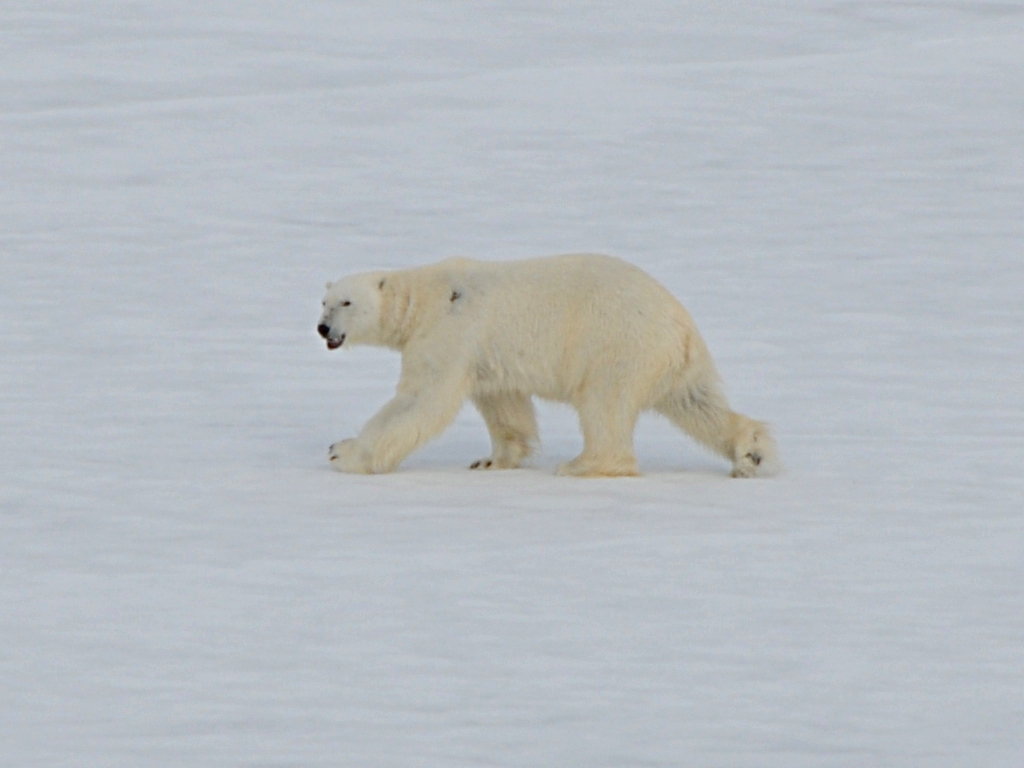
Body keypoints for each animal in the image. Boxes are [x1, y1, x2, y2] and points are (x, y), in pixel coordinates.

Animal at [319, 256, 774, 479]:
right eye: (323, 301)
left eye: (347, 302)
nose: (323, 327)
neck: (425, 297)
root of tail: (681, 325)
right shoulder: (485, 353)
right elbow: (502, 402)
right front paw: (492, 460)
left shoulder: (450, 331)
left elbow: (420, 400)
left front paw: (344, 452)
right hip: (669, 362)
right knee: (696, 403)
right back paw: (751, 454)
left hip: (616, 343)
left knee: (603, 405)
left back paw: (583, 465)